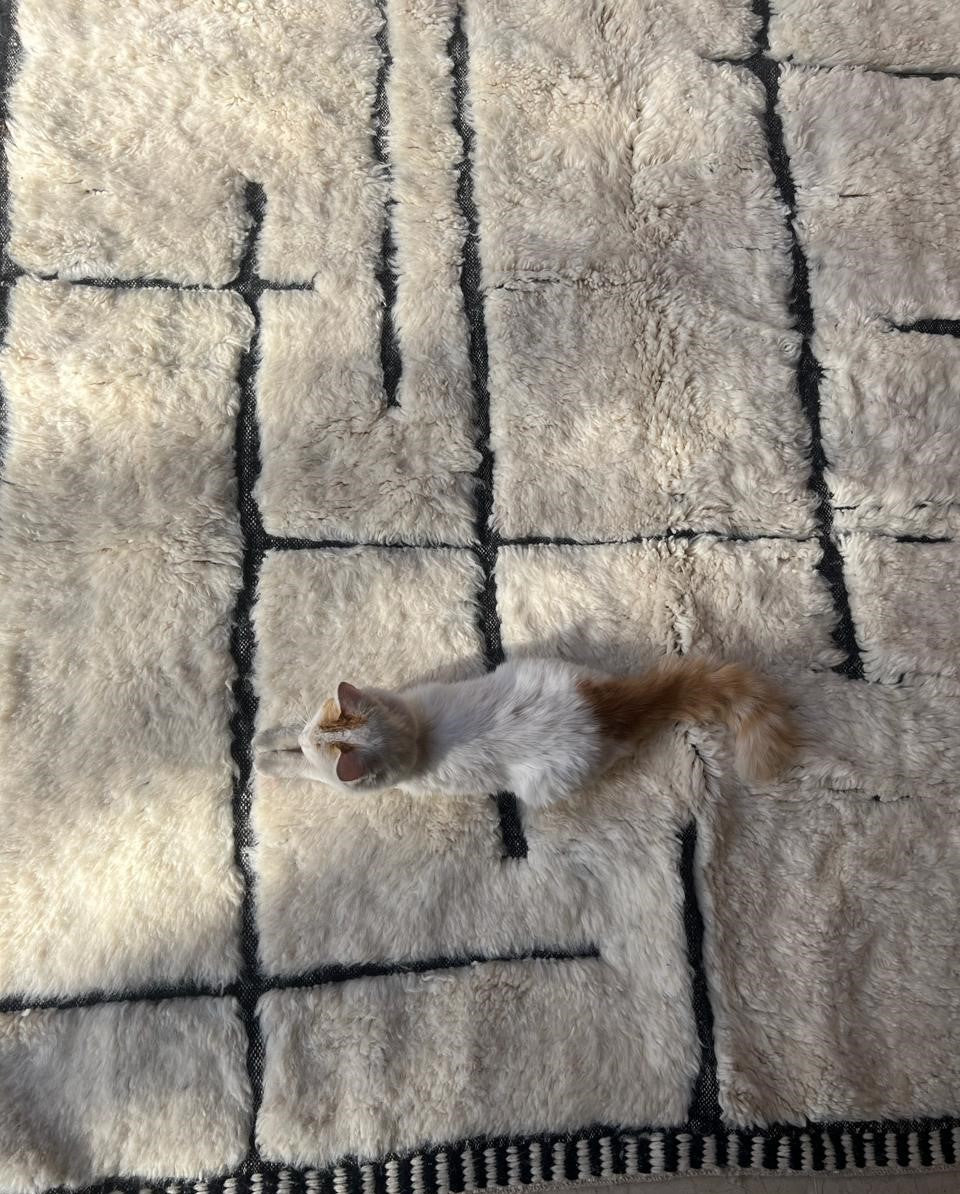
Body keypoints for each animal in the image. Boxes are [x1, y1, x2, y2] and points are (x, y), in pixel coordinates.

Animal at [253, 654, 792, 811]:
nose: (309, 737)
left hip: (542, 786)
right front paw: (267, 735)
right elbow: (284, 729)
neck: (415, 734)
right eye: (314, 724)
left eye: (316, 747)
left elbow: (298, 769)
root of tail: (606, 710)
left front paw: (264, 756)